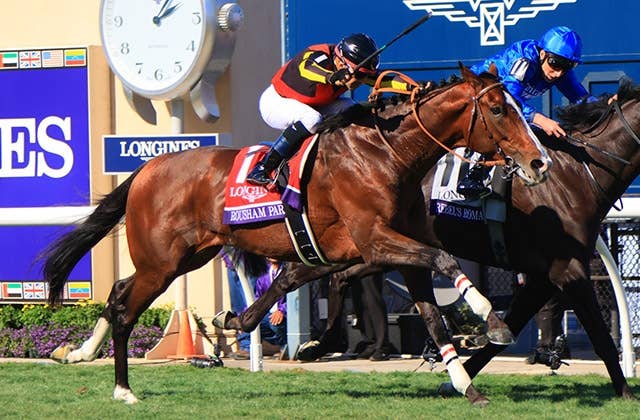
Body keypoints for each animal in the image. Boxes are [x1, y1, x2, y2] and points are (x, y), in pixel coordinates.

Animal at [41, 65, 550, 405]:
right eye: (499, 109)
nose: (539, 162)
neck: (387, 153)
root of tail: (148, 168)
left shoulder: (392, 250)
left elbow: (431, 314)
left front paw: (466, 385)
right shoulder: (375, 242)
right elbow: (444, 262)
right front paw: (494, 321)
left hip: (183, 258)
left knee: (117, 292)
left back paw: (82, 353)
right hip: (161, 262)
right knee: (126, 309)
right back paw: (122, 389)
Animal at [214, 79, 640, 401]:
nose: (538, 165)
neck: (574, 174)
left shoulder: (541, 277)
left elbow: (508, 330)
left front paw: (459, 376)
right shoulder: (567, 270)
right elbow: (599, 335)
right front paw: (625, 392)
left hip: (363, 247)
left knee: (311, 275)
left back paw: (306, 340)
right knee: (323, 277)